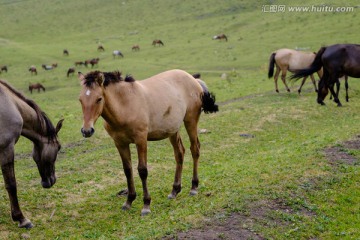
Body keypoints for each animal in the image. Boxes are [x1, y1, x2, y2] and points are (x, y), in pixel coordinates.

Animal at [0, 79, 63, 228]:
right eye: (59, 147)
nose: (52, 180)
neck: (10, 103)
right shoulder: (6, 148)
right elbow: (11, 184)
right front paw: (21, 218)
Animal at [79, 69, 218, 216]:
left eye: (99, 99)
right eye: (80, 99)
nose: (87, 130)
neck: (125, 105)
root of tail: (193, 79)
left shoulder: (141, 140)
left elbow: (142, 170)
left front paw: (146, 205)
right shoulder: (120, 143)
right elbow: (127, 170)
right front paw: (129, 201)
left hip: (190, 121)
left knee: (195, 149)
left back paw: (194, 187)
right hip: (173, 130)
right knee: (179, 153)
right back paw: (174, 190)